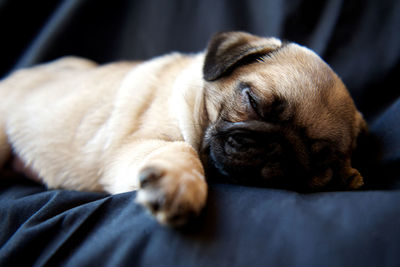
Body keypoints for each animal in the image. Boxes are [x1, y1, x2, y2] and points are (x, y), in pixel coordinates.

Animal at [0, 32, 366, 227]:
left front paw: (348, 175)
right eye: (253, 102)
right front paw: (178, 184)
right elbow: (181, 148)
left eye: (320, 160)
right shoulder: (135, 145)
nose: (279, 149)